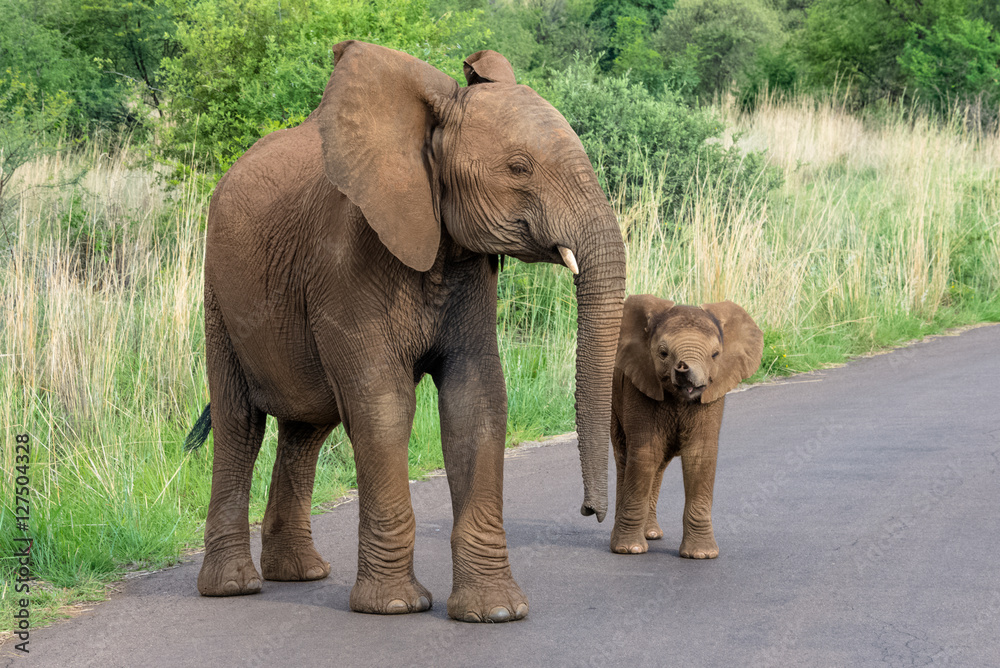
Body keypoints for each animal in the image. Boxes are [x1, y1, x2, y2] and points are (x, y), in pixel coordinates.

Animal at [186, 41, 626, 623]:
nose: (590, 511)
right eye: (518, 168)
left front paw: (495, 612)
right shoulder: (345, 261)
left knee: (307, 426)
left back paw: (301, 574)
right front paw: (395, 606)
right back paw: (234, 586)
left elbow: (477, 400)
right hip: (218, 290)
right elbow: (383, 406)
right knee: (240, 422)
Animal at [610, 295, 762, 558]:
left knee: (659, 465)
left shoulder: (711, 393)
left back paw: (652, 533)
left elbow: (699, 456)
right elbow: (645, 453)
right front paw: (629, 550)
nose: (683, 367)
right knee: (626, 457)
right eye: (662, 353)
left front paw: (701, 555)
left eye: (715, 354)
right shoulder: (639, 384)